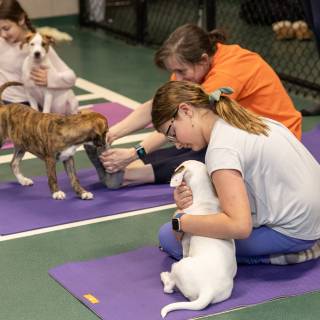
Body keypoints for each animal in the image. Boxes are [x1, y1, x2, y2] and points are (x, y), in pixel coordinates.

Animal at [160, 160, 238, 318]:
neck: (205, 196)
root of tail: (208, 290)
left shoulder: (185, 238)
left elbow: (184, 248)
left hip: (178, 266)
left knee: (169, 288)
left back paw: (165, 276)